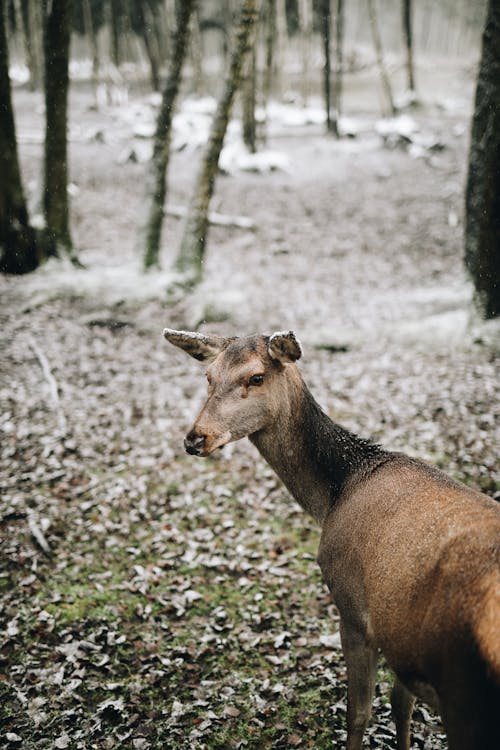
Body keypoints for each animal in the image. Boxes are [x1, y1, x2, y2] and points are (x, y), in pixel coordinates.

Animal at [164, 328, 500, 750]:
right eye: (208, 377)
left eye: (256, 377)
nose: (195, 438)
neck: (335, 493)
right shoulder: (401, 641)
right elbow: (400, 704)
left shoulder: (352, 608)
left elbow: (358, 713)